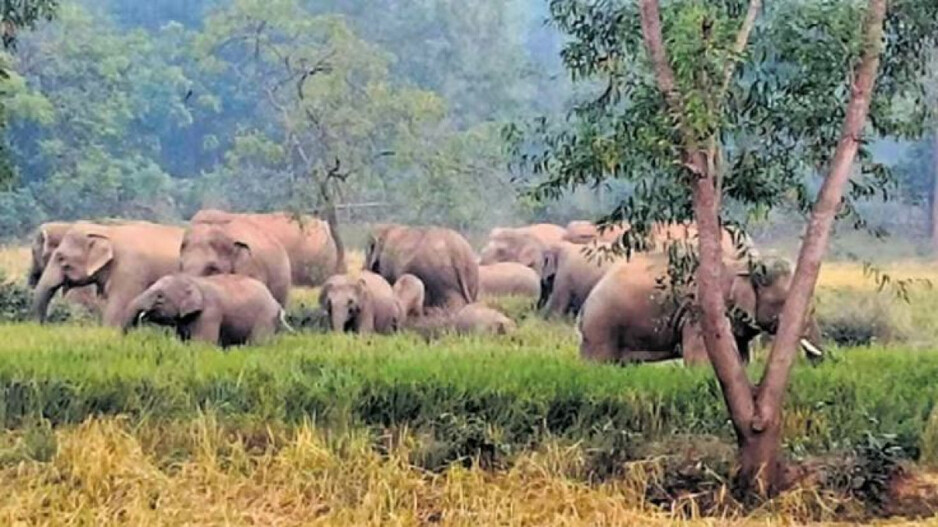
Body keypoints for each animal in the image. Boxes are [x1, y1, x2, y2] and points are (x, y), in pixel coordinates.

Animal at [122, 274, 288, 348]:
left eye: (160, 297)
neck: (193, 280)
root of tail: (277, 304)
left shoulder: (210, 313)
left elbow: (202, 344)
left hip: (265, 317)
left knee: (259, 344)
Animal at [576, 256, 824, 368]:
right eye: (784, 302)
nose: (819, 362)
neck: (745, 264)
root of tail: (585, 305)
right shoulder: (701, 313)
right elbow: (699, 358)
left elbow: (741, 356)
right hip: (601, 326)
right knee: (599, 362)